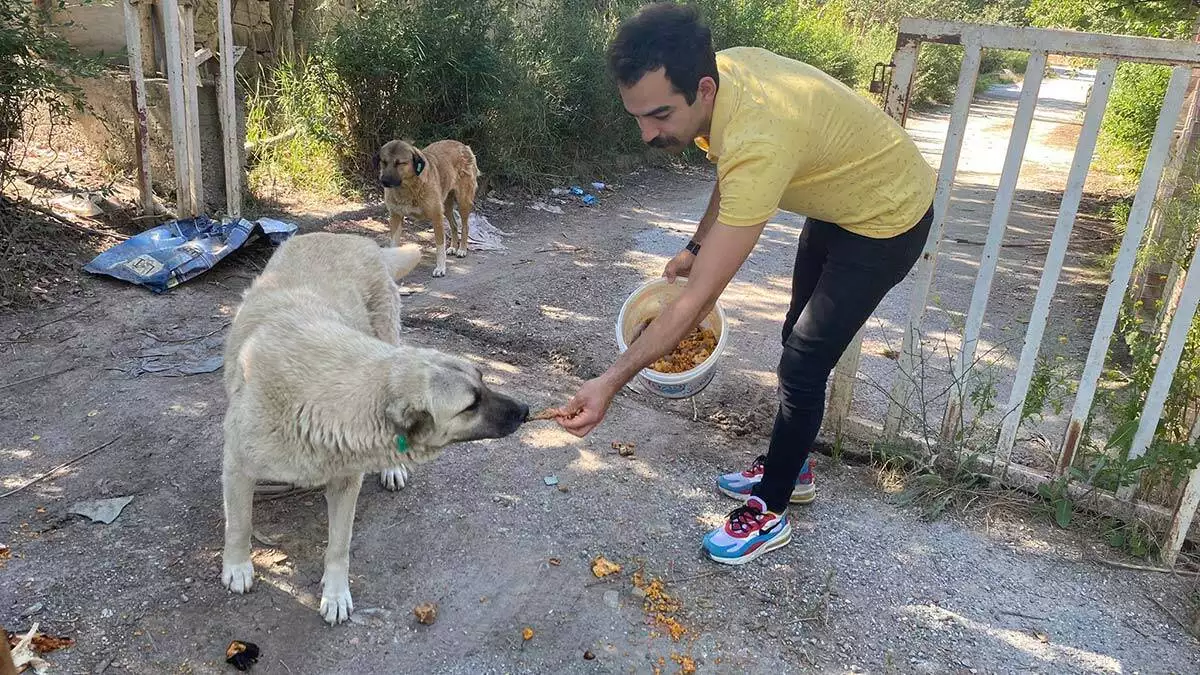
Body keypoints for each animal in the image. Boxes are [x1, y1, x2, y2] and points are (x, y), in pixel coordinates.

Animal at [219, 230, 525, 619]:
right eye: (470, 404)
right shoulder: (237, 467)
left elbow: (339, 545)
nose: (526, 410)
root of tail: (351, 238)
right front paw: (238, 566)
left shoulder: (346, 482)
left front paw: (335, 593)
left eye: (483, 379)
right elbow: (239, 525)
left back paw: (391, 468)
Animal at [379, 138, 482, 275]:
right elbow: (393, 244)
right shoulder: (395, 217)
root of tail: (463, 145)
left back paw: (462, 249)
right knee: (454, 225)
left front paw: (440, 268)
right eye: (384, 162)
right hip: (446, 206)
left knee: (465, 226)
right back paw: (453, 247)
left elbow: (439, 246)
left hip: (463, 202)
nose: (384, 181)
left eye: (400, 163)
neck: (408, 188)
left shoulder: (436, 216)